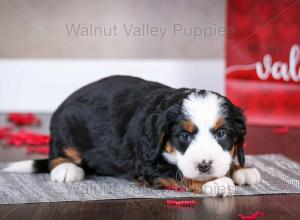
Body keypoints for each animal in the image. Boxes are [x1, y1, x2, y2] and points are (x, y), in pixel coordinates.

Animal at [2, 75, 260, 196]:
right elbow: (179, 173)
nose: (205, 165)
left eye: (222, 134)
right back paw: (66, 169)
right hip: (65, 128)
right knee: (56, 155)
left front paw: (241, 169)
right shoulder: (148, 164)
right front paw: (217, 182)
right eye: (184, 137)